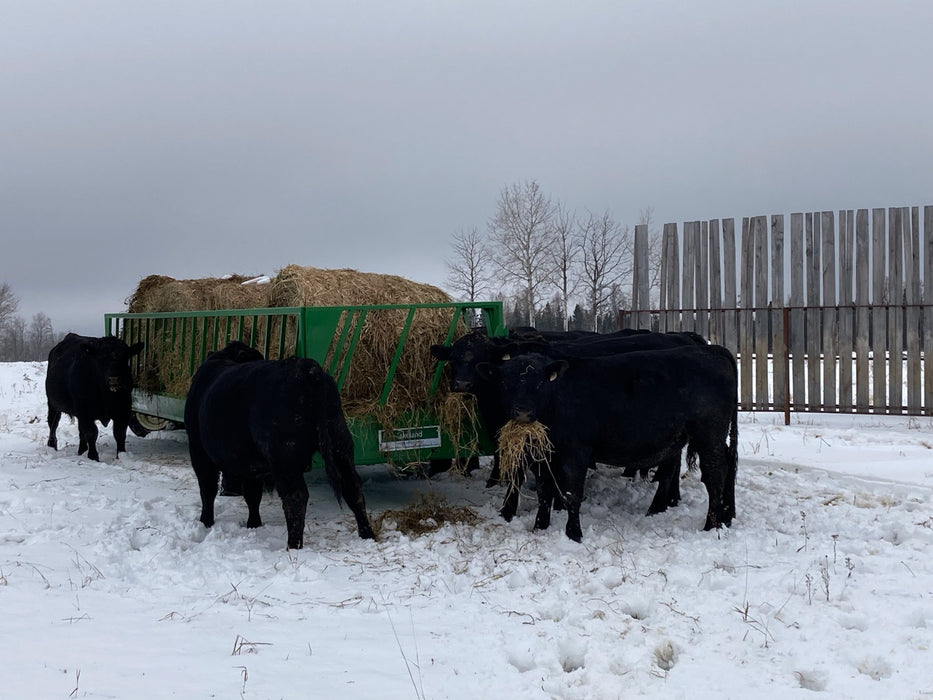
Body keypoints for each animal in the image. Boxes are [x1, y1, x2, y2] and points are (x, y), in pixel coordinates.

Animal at [46, 333, 146, 461]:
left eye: (125, 357)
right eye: (101, 358)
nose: (113, 379)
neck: (106, 395)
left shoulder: (123, 410)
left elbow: (120, 434)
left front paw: (121, 455)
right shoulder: (85, 411)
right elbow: (91, 433)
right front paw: (93, 456)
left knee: (80, 430)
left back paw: (82, 450)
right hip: (53, 403)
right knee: (53, 423)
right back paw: (52, 445)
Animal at [184, 341, 375, 550]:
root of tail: (306, 367)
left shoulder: (199, 450)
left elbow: (208, 488)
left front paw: (205, 521)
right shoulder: (250, 462)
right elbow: (252, 493)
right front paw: (254, 524)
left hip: (285, 454)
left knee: (296, 496)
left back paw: (293, 545)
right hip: (340, 442)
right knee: (352, 487)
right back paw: (367, 535)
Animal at [478, 343, 738, 541]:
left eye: (539, 384)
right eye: (505, 384)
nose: (522, 412)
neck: (557, 398)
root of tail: (710, 349)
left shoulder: (576, 452)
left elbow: (572, 494)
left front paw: (573, 534)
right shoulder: (545, 455)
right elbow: (544, 492)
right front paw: (540, 526)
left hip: (709, 436)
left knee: (715, 474)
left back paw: (711, 525)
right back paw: (724, 516)